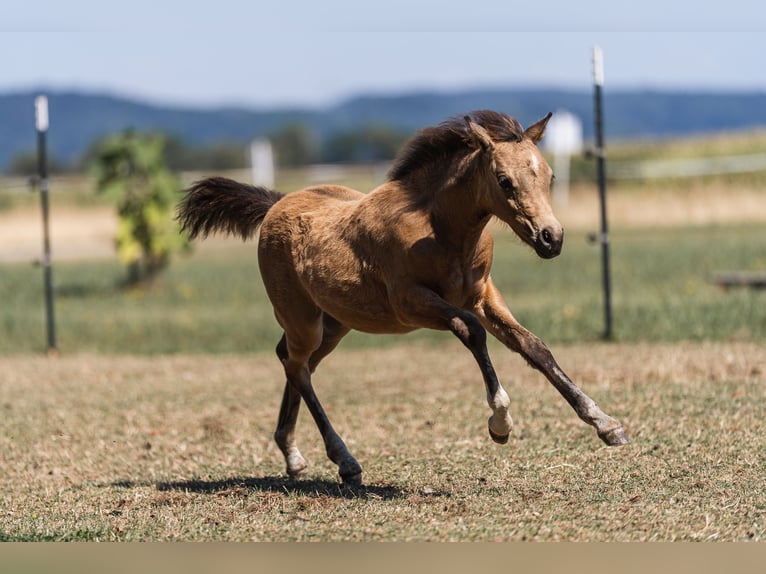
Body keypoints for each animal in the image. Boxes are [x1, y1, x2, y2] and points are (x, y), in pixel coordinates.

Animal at [178, 111, 632, 486]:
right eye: (505, 181)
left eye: (550, 177)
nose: (551, 238)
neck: (441, 230)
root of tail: (277, 204)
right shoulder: (411, 303)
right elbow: (471, 332)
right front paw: (500, 422)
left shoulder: (483, 295)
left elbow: (534, 348)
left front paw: (606, 423)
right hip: (302, 319)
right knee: (297, 365)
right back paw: (344, 461)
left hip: (335, 322)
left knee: (292, 361)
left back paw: (293, 455)